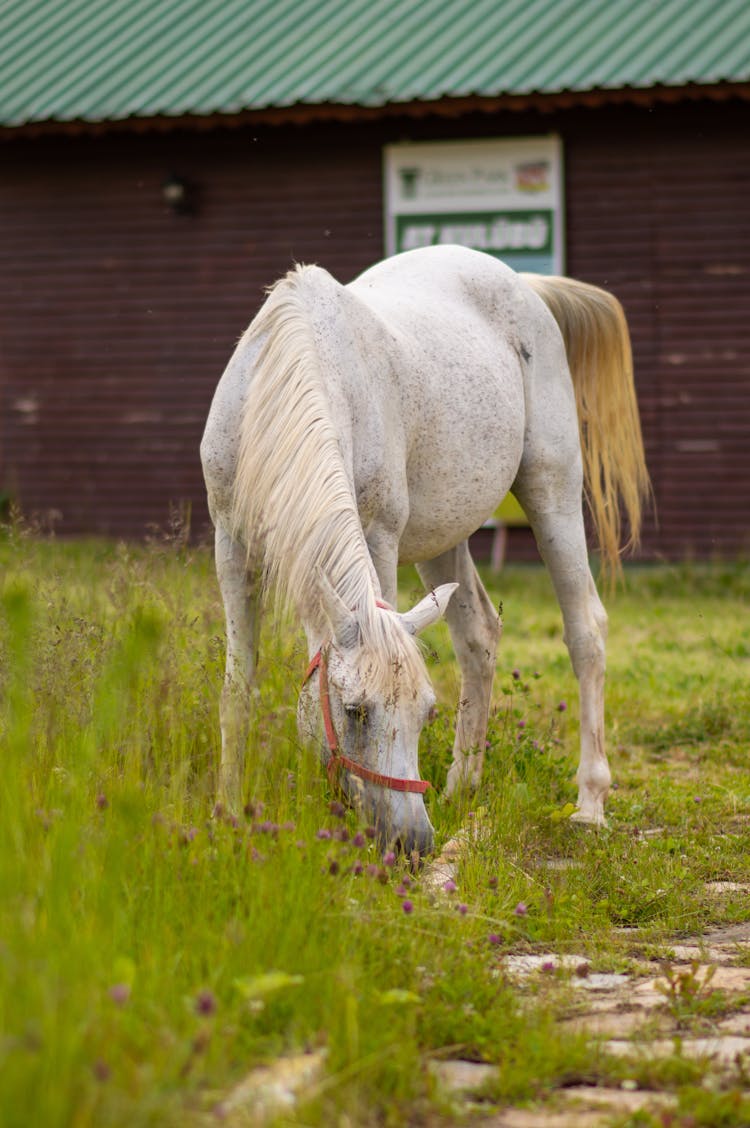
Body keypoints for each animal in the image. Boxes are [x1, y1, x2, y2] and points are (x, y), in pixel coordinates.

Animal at [200, 242, 649, 848]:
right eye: (355, 711)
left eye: (424, 713)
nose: (411, 842)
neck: (289, 373)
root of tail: (523, 284)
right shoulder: (231, 546)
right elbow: (237, 690)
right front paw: (226, 811)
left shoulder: (378, 537)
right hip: (444, 538)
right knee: (479, 635)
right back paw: (464, 784)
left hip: (551, 489)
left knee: (586, 632)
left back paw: (590, 802)